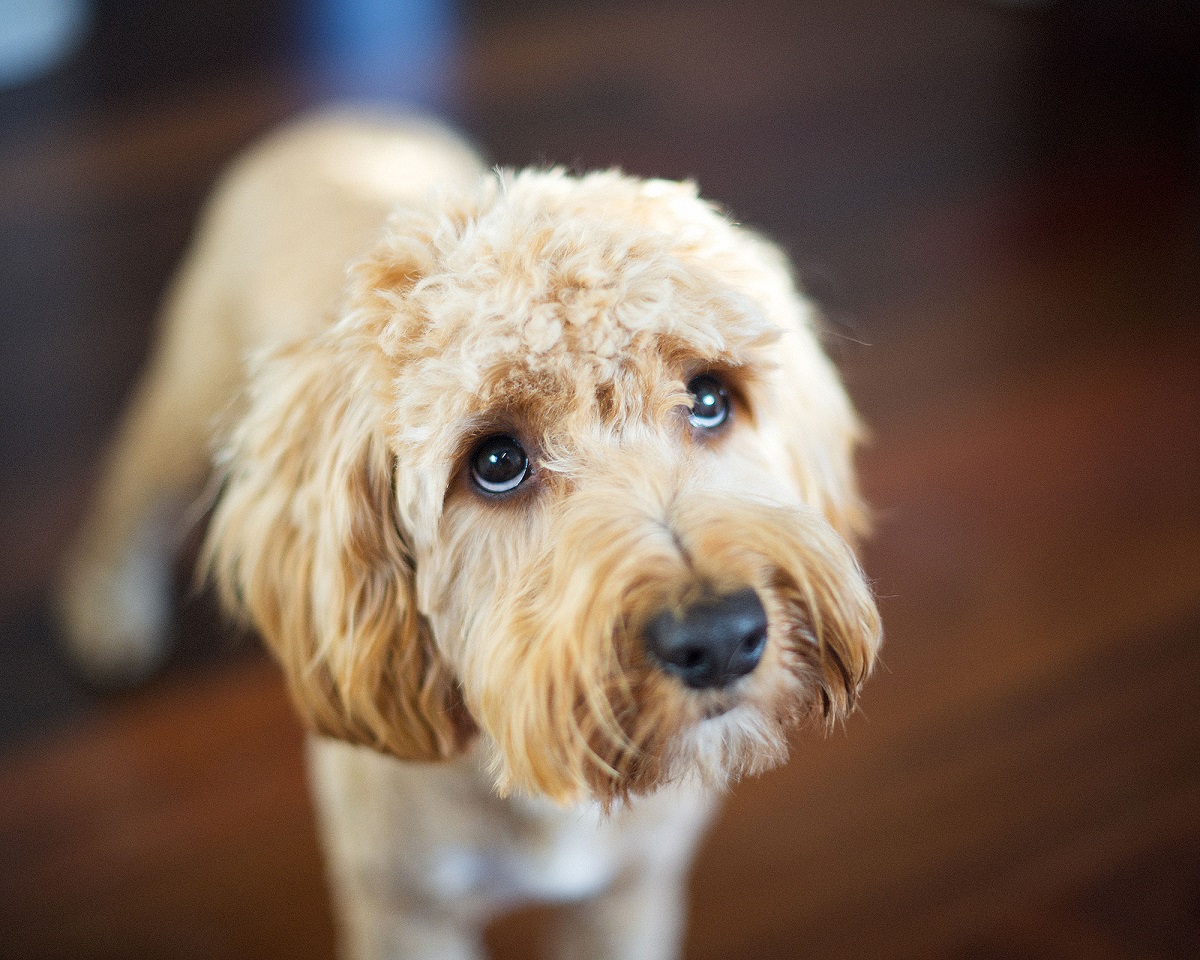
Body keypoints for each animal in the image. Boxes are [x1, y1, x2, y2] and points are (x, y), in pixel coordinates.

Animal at [58, 114, 883, 960]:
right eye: (495, 463)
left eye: (711, 397)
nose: (720, 638)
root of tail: (343, 123)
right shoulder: (404, 911)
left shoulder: (630, 894)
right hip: (188, 400)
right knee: (127, 498)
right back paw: (109, 613)